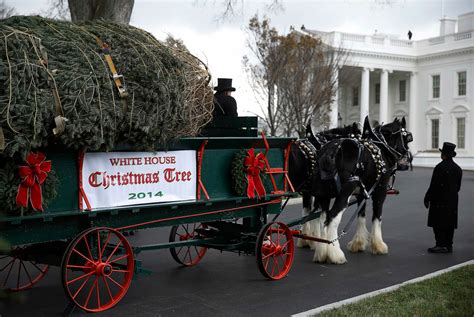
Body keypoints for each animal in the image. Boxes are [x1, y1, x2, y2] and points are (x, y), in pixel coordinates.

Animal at [310, 117, 412, 262]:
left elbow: (361, 215)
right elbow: (377, 216)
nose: (407, 159)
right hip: (344, 194)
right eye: (407, 137)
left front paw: (358, 243)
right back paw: (336, 254)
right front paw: (378, 245)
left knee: (323, 218)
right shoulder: (380, 191)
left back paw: (322, 252)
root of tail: (331, 150)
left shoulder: (361, 193)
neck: (381, 148)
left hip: (324, 195)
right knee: (332, 218)